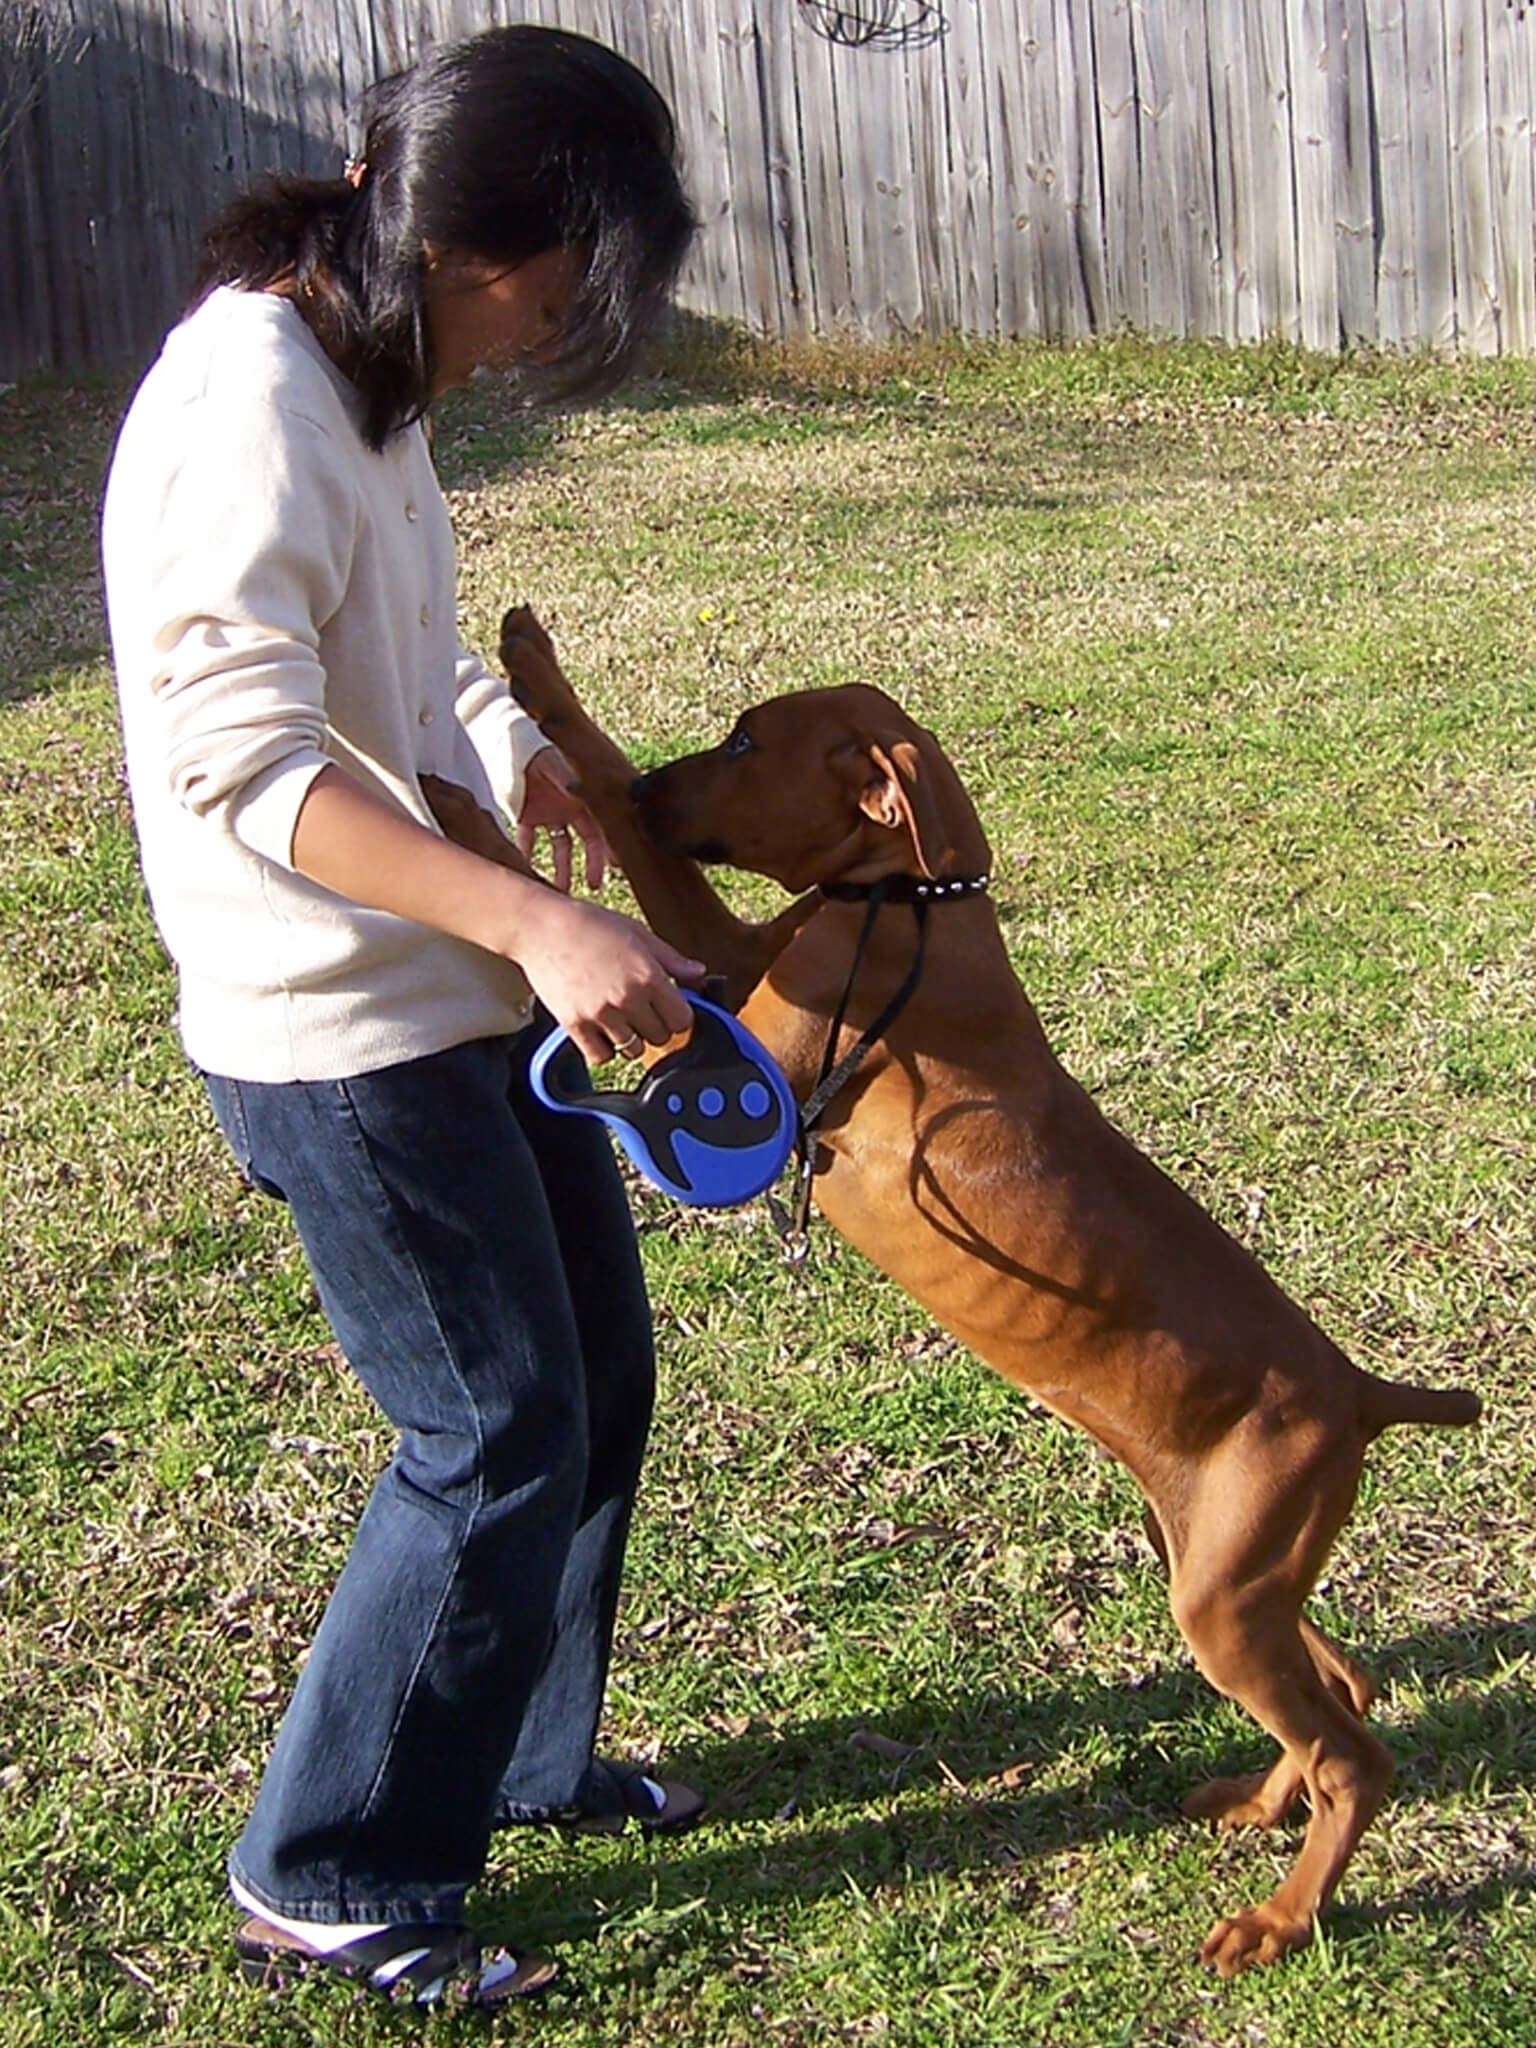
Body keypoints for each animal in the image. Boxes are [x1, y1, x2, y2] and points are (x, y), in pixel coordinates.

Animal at [428, 602, 1482, 1966]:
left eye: (748, 739)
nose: (670, 783)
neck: (915, 898)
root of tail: (1359, 1390)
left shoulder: (716, 1031)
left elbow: (607, 837)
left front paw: (474, 794)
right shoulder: (733, 959)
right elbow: (636, 839)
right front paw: (520, 725)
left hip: (1230, 1589)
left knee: (1355, 1751)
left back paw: (1278, 1917)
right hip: (1229, 1564)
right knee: (1339, 1692)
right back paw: (1258, 1804)